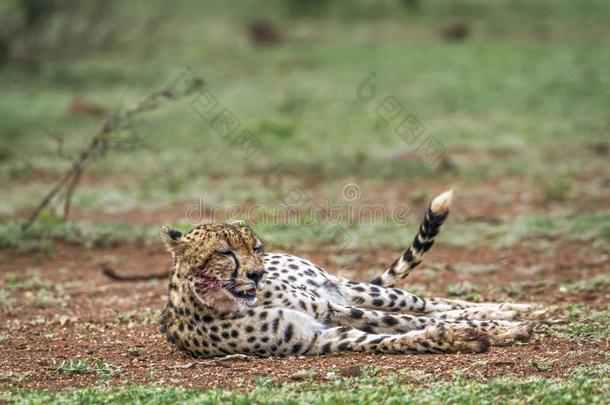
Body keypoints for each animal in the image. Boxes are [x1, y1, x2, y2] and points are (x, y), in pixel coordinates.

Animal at [159, 190, 540, 356]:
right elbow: (394, 336)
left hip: (354, 289)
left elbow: (409, 320)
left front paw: (501, 327)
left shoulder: (327, 308)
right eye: (224, 253)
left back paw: (516, 309)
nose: (257, 275)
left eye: (255, 248)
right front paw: (459, 338)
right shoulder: (317, 337)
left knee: (428, 303)